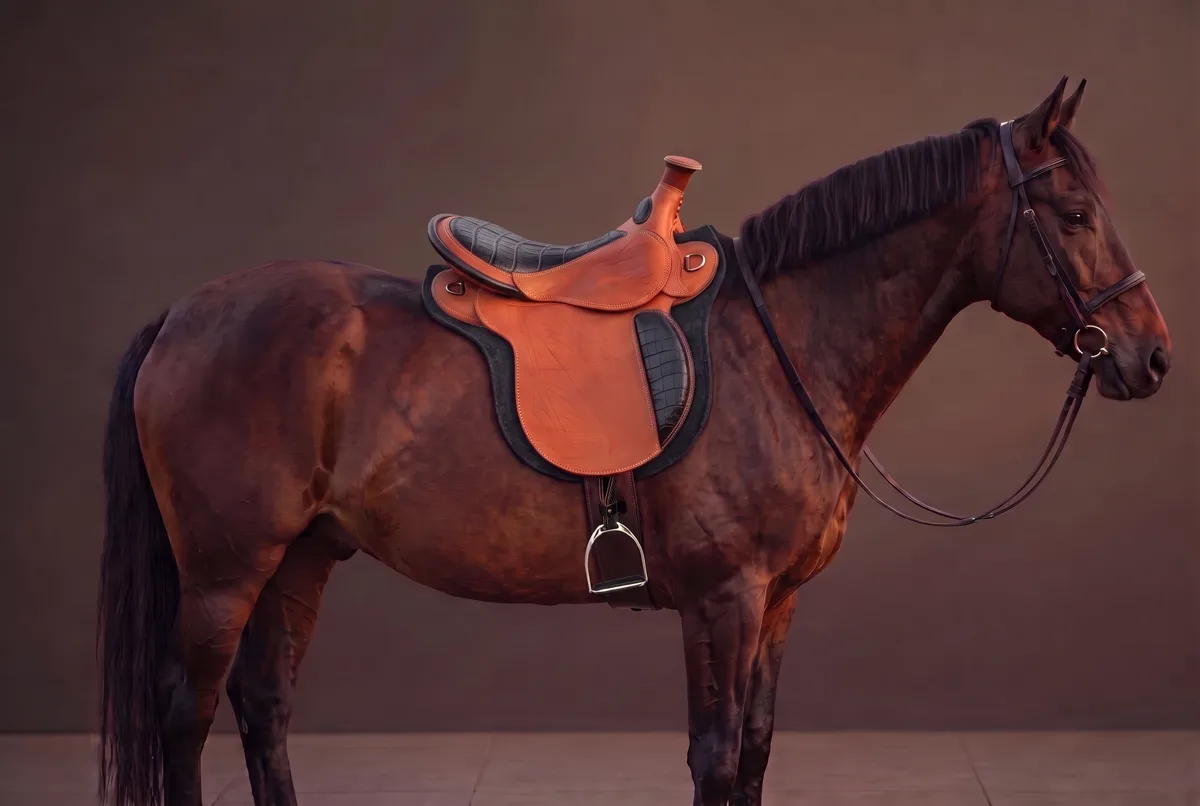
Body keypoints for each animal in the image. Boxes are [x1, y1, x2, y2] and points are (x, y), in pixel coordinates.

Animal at [97, 78, 1172, 806]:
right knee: (187, 714)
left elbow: (756, 748)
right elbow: (715, 754)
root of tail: (183, 313)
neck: (778, 345)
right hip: (225, 569)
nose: (1152, 356)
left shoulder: (778, 602)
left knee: (264, 707)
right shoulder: (724, 598)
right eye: (1076, 214)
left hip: (302, 557)